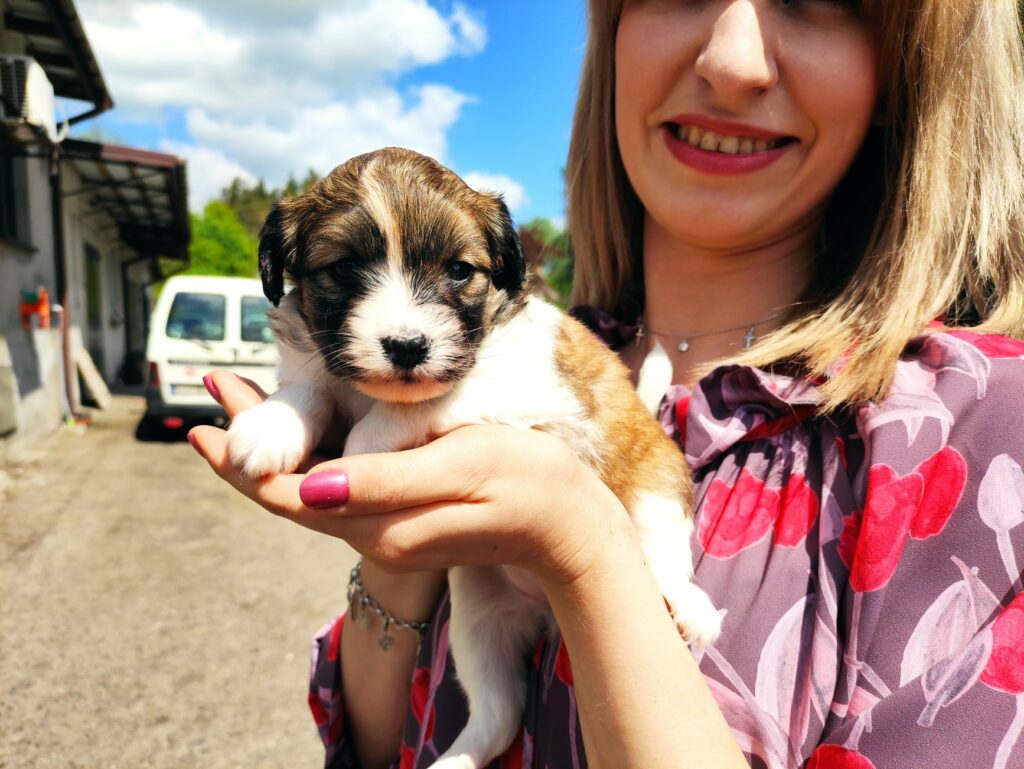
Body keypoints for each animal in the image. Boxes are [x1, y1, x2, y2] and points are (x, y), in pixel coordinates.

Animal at [226, 147, 721, 769]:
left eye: (459, 271)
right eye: (343, 267)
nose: (407, 346)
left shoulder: (520, 388)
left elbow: (425, 403)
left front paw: (366, 439)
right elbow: (312, 385)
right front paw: (274, 421)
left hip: (653, 490)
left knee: (663, 552)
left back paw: (689, 605)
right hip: (478, 619)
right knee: (499, 716)